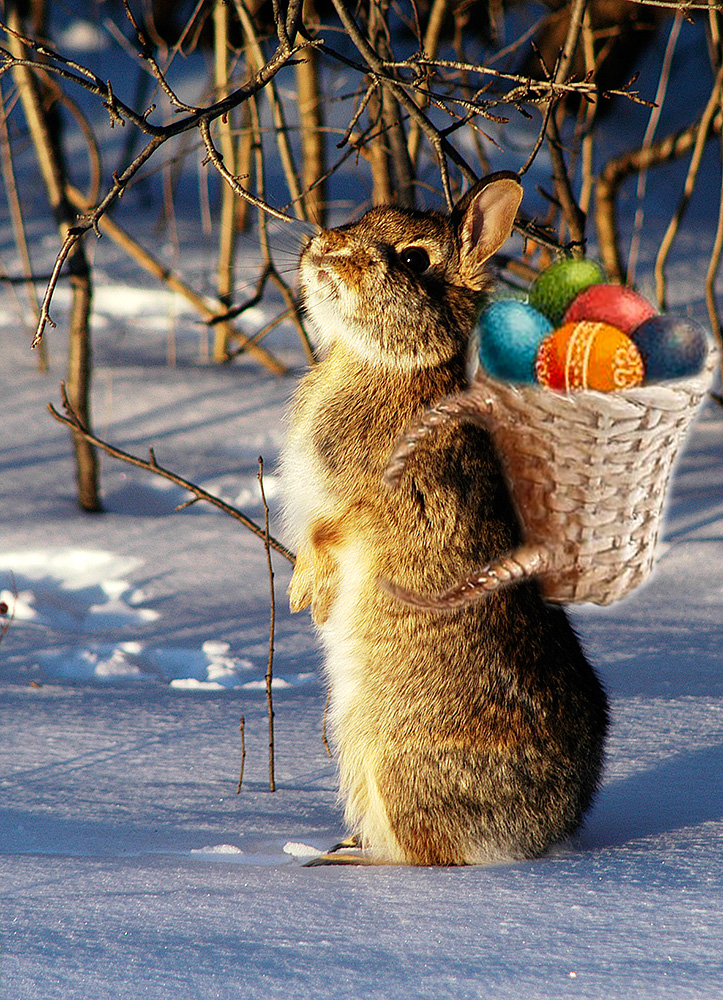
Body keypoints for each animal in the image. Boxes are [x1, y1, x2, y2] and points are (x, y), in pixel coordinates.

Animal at [280, 168, 608, 864]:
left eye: (413, 261)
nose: (325, 248)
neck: (391, 362)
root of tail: (547, 831)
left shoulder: (374, 503)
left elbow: (329, 534)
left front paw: (306, 595)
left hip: (394, 762)